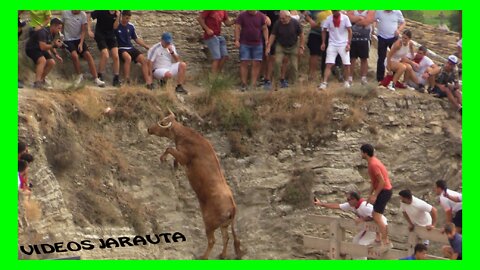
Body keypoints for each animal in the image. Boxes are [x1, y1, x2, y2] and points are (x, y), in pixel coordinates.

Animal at [146, 110, 244, 260]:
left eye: (162, 122)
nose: (149, 129)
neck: (187, 137)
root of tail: (232, 207)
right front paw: (173, 165)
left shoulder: (184, 157)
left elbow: (169, 148)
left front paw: (163, 159)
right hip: (224, 226)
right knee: (226, 238)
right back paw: (222, 255)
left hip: (209, 223)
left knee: (213, 240)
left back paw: (203, 256)